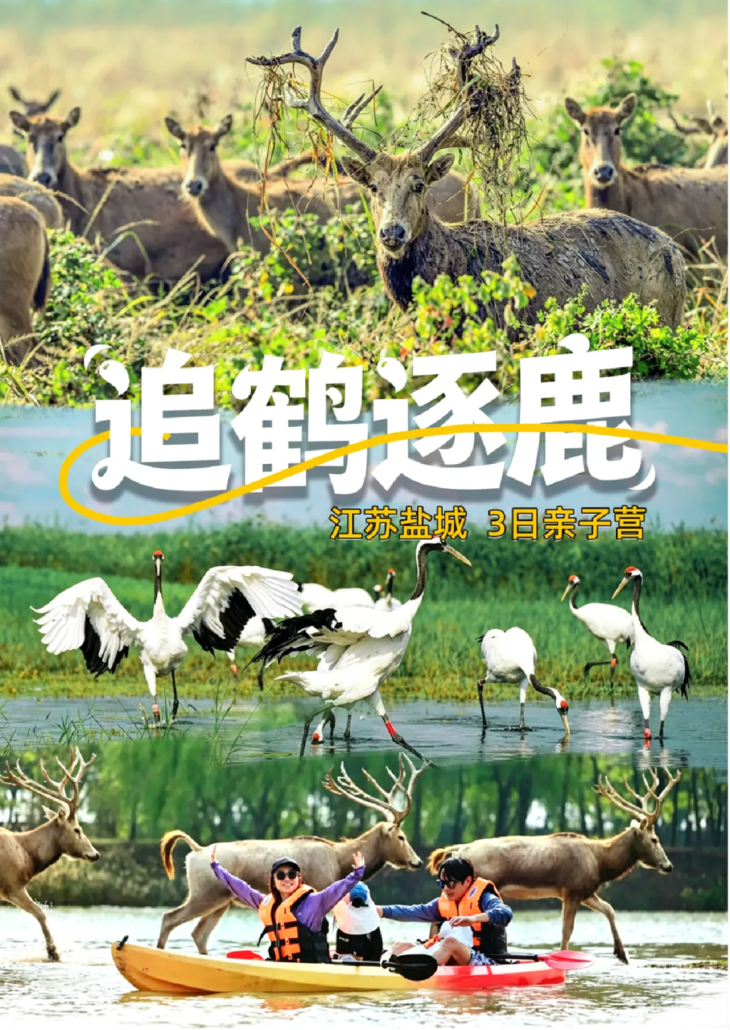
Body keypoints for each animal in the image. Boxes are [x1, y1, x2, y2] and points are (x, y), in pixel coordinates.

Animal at [0, 748, 99, 962]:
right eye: (77, 829)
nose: (96, 854)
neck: (28, 858)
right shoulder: (12, 885)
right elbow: (41, 912)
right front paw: (53, 951)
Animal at [156, 755, 427, 954]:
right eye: (401, 837)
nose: (418, 861)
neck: (339, 860)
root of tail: (195, 851)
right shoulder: (323, 894)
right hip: (205, 893)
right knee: (170, 917)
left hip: (221, 899)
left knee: (199, 933)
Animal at [427, 767, 681, 965]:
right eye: (654, 839)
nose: (668, 865)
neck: (600, 863)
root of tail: (457, 850)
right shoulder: (573, 890)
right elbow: (567, 930)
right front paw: (565, 955)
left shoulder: (586, 890)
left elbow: (609, 909)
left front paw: (622, 954)